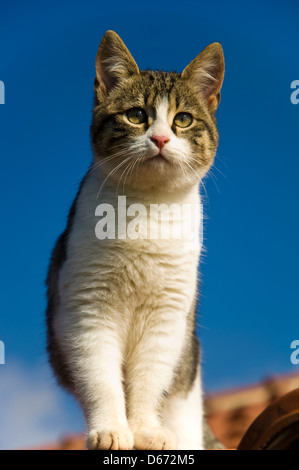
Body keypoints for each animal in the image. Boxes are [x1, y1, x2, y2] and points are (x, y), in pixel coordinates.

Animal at [46, 30, 225, 452]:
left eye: (182, 119)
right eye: (137, 115)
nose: (159, 138)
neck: (146, 207)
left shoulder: (167, 318)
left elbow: (148, 381)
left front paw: (145, 430)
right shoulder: (86, 310)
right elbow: (101, 380)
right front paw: (111, 430)